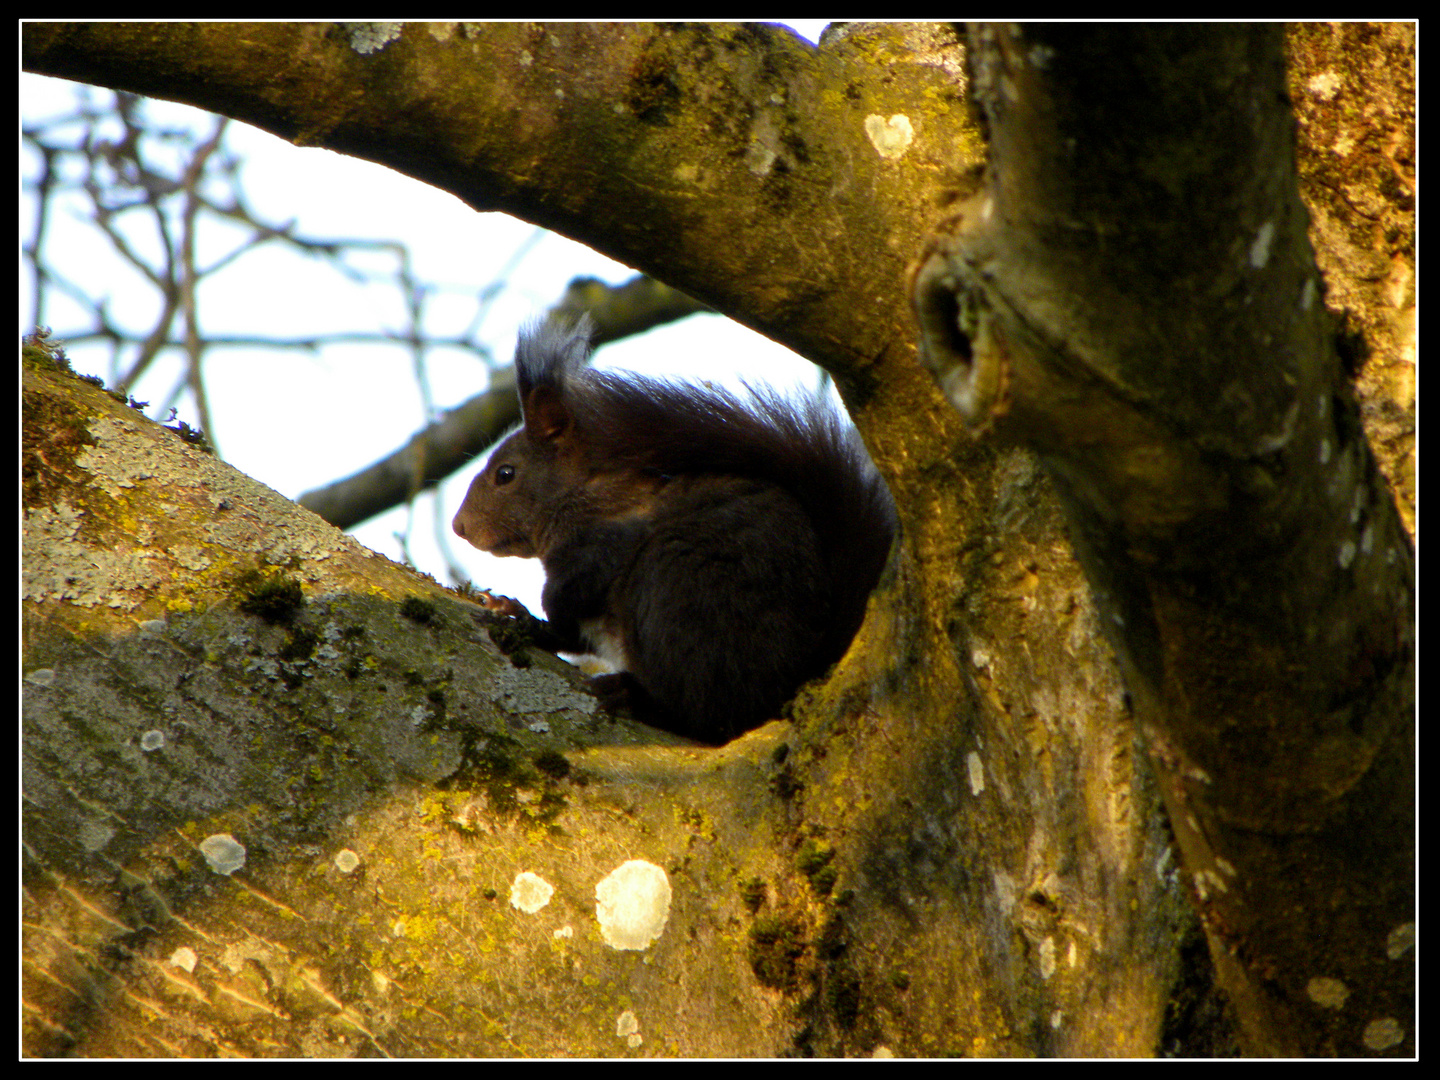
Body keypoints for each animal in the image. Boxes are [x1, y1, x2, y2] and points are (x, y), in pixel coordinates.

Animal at [455, 316, 892, 748]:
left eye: (505, 474)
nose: (459, 527)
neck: (585, 494)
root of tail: (794, 683)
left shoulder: (602, 548)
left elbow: (565, 610)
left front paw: (528, 620)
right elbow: (574, 634)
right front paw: (512, 610)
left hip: (678, 595)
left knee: (707, 714)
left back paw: (636, 697)